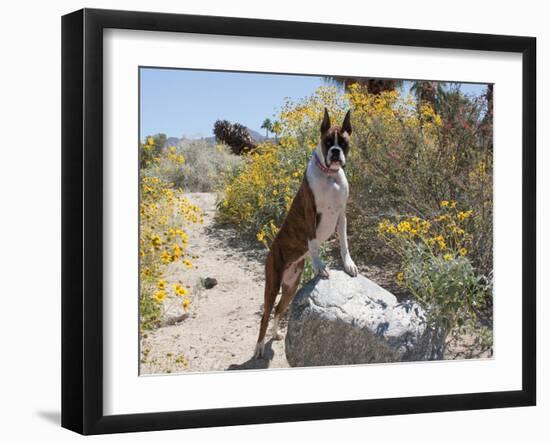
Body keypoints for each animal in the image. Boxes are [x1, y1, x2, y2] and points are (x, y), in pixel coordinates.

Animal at [254, 108, 358, 360]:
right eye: (328, 141)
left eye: (344, 142)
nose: (335, 152)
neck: (330, 176)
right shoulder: (310, 213)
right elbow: (313, 243)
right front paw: (320, 266)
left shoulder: (342, 215)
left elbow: (344, 243)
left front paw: (348, 264)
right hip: (272, 285)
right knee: (265, 314)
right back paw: (260, 346)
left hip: (291, 287)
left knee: (279, 310)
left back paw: (276, 334)